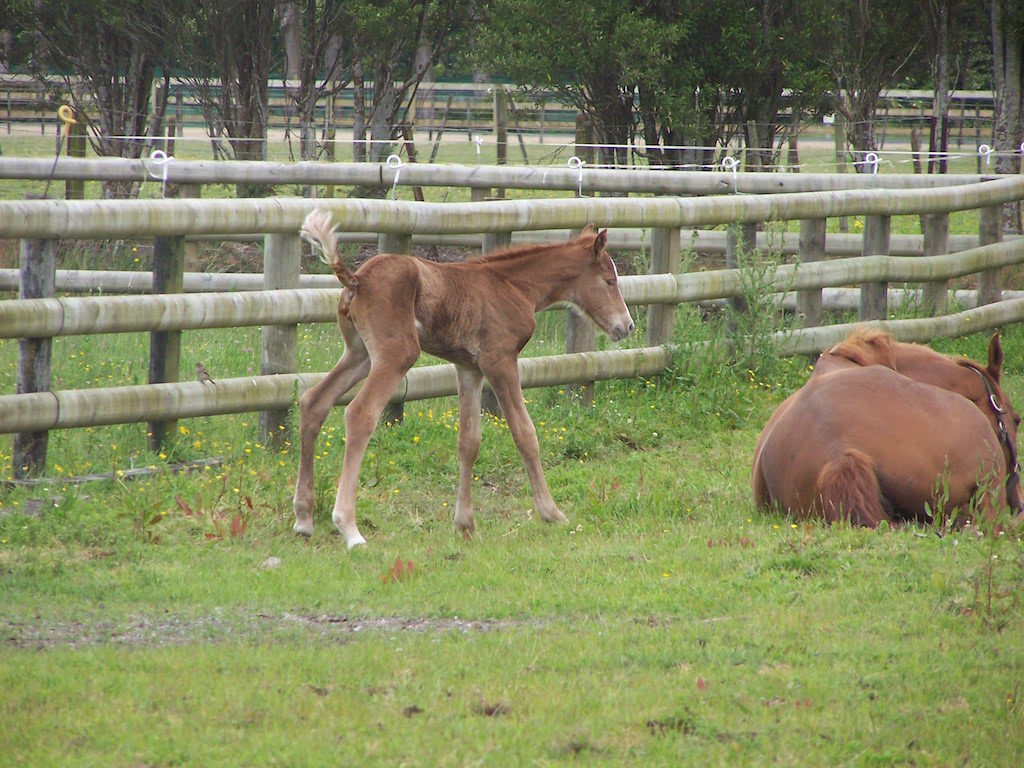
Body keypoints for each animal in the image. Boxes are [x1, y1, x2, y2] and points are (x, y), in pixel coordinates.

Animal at [292, 208, 634, 548]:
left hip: (359, 354)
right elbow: (525, 434)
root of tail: (357, 279)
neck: (513, 287)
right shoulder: (500, 361)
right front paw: (551, 512)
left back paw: (304, 519)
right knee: (360, 413)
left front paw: (465, 523)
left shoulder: (469, 368)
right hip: (395, 356)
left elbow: (469, 441)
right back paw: (348, 527)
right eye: (609, 281)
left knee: (313, 401)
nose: (627, 325)